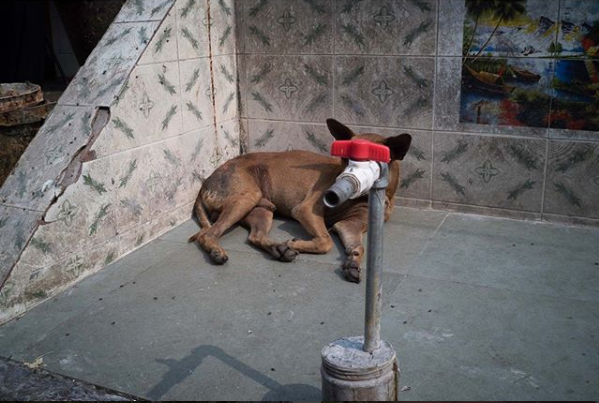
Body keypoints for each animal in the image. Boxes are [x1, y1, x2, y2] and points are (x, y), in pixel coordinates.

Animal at [190, 119, 410, 284]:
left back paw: (278, 250)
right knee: (208, 234)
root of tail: (205, 183)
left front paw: (353, 262)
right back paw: (218, 251)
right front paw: (296, 243)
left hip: (262, 209)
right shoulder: (305, 210)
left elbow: (358, 246)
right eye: (345, 158)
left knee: (255, 236)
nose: (338, 187)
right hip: (246, 198)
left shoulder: (350, 225)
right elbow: (325, 241)